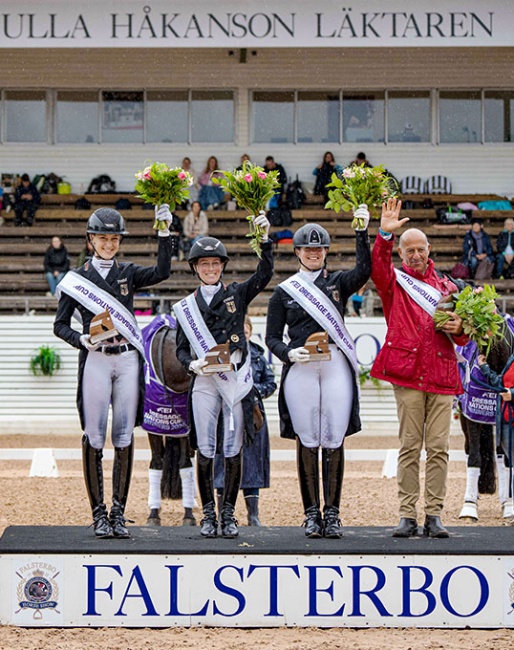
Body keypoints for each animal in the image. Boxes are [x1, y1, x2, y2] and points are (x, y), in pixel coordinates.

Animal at [140, 316, 196, 528]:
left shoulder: (185, 428)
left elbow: (185, 464)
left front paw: (189, 515)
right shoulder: (153, 425)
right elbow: (156, 463)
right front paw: (153, 514)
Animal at [456, 316, 512, 520]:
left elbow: (505, 460)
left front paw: (508, 505)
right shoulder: (473, 416)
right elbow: (475, 457)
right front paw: (469, 507)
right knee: (469, 449)